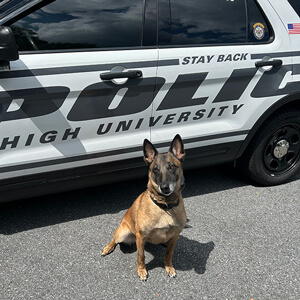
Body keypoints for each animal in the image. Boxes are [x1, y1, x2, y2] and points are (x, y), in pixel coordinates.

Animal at [101, 135, 185, 280]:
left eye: (172, 167)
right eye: (155, 169)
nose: (165, 188)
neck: (165, 207)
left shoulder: (175, 236)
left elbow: (169, 254)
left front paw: (168, 267)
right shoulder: (141, 236)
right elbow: (141, 256)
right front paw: (141, 270)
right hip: (123, 233)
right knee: (114, 239)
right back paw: (108, 247)